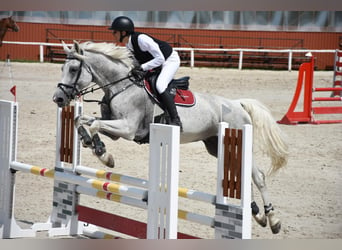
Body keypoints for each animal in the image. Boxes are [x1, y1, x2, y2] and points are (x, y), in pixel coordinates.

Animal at [53, 40, 288, 234]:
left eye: (73, 69)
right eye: (62, 68)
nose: (58, 98)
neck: (121, 86)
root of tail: (237, 103)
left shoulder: (128, 129)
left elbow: (94, 124)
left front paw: (102, 154)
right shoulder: (116, 131)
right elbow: (82, 121)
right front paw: (94, 145)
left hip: (234, 140)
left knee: (258, 176)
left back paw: (273, 220)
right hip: (216, 146)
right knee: (247, 174)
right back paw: (258, 215)